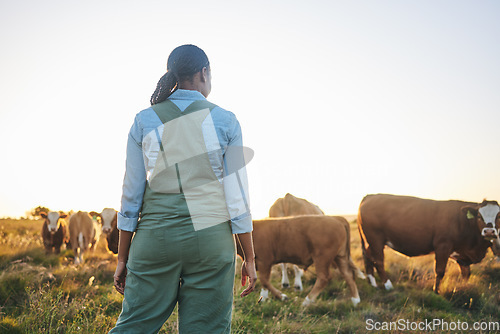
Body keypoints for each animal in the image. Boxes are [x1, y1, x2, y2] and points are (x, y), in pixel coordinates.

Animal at [358, 194, 498, 294]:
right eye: (479, 216)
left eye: (499, 216)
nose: (489, 231)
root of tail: (370, 196)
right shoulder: (443, 246)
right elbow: (440, 271)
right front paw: (436, 292)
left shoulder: (462, 253)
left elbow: (466, 273)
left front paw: (464, 288)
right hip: (375, 239)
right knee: (378, 261)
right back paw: (388, 286)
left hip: (369, 241)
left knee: (368, 258)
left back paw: (373, 284)